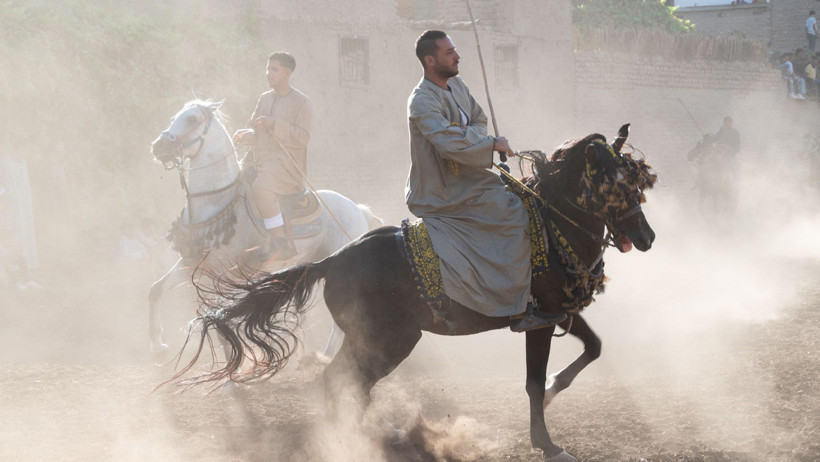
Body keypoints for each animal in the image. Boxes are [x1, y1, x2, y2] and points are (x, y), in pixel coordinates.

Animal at [149, 99, 381, 357]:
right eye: (174, 117)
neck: (216, 201)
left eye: (192, 119)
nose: (158, 146)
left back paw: (327, 357)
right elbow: (156, 290)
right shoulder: (192, 262)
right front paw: (158, 345)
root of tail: (358, 209)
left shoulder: (225, 270)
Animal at [168, 123, 657, 461]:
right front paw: (547, 443)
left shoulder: (562, 312)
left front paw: (557, 388)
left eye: (637, 183)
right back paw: (364, 438)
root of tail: (332, 261)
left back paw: (378, 435)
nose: (646, 237)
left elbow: (593, 347)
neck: (553, 229)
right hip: (391, 340)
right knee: (341, 383)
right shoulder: (539, 320)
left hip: (373, 340)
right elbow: (533, 383)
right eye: (615, 185)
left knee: (345, 385)